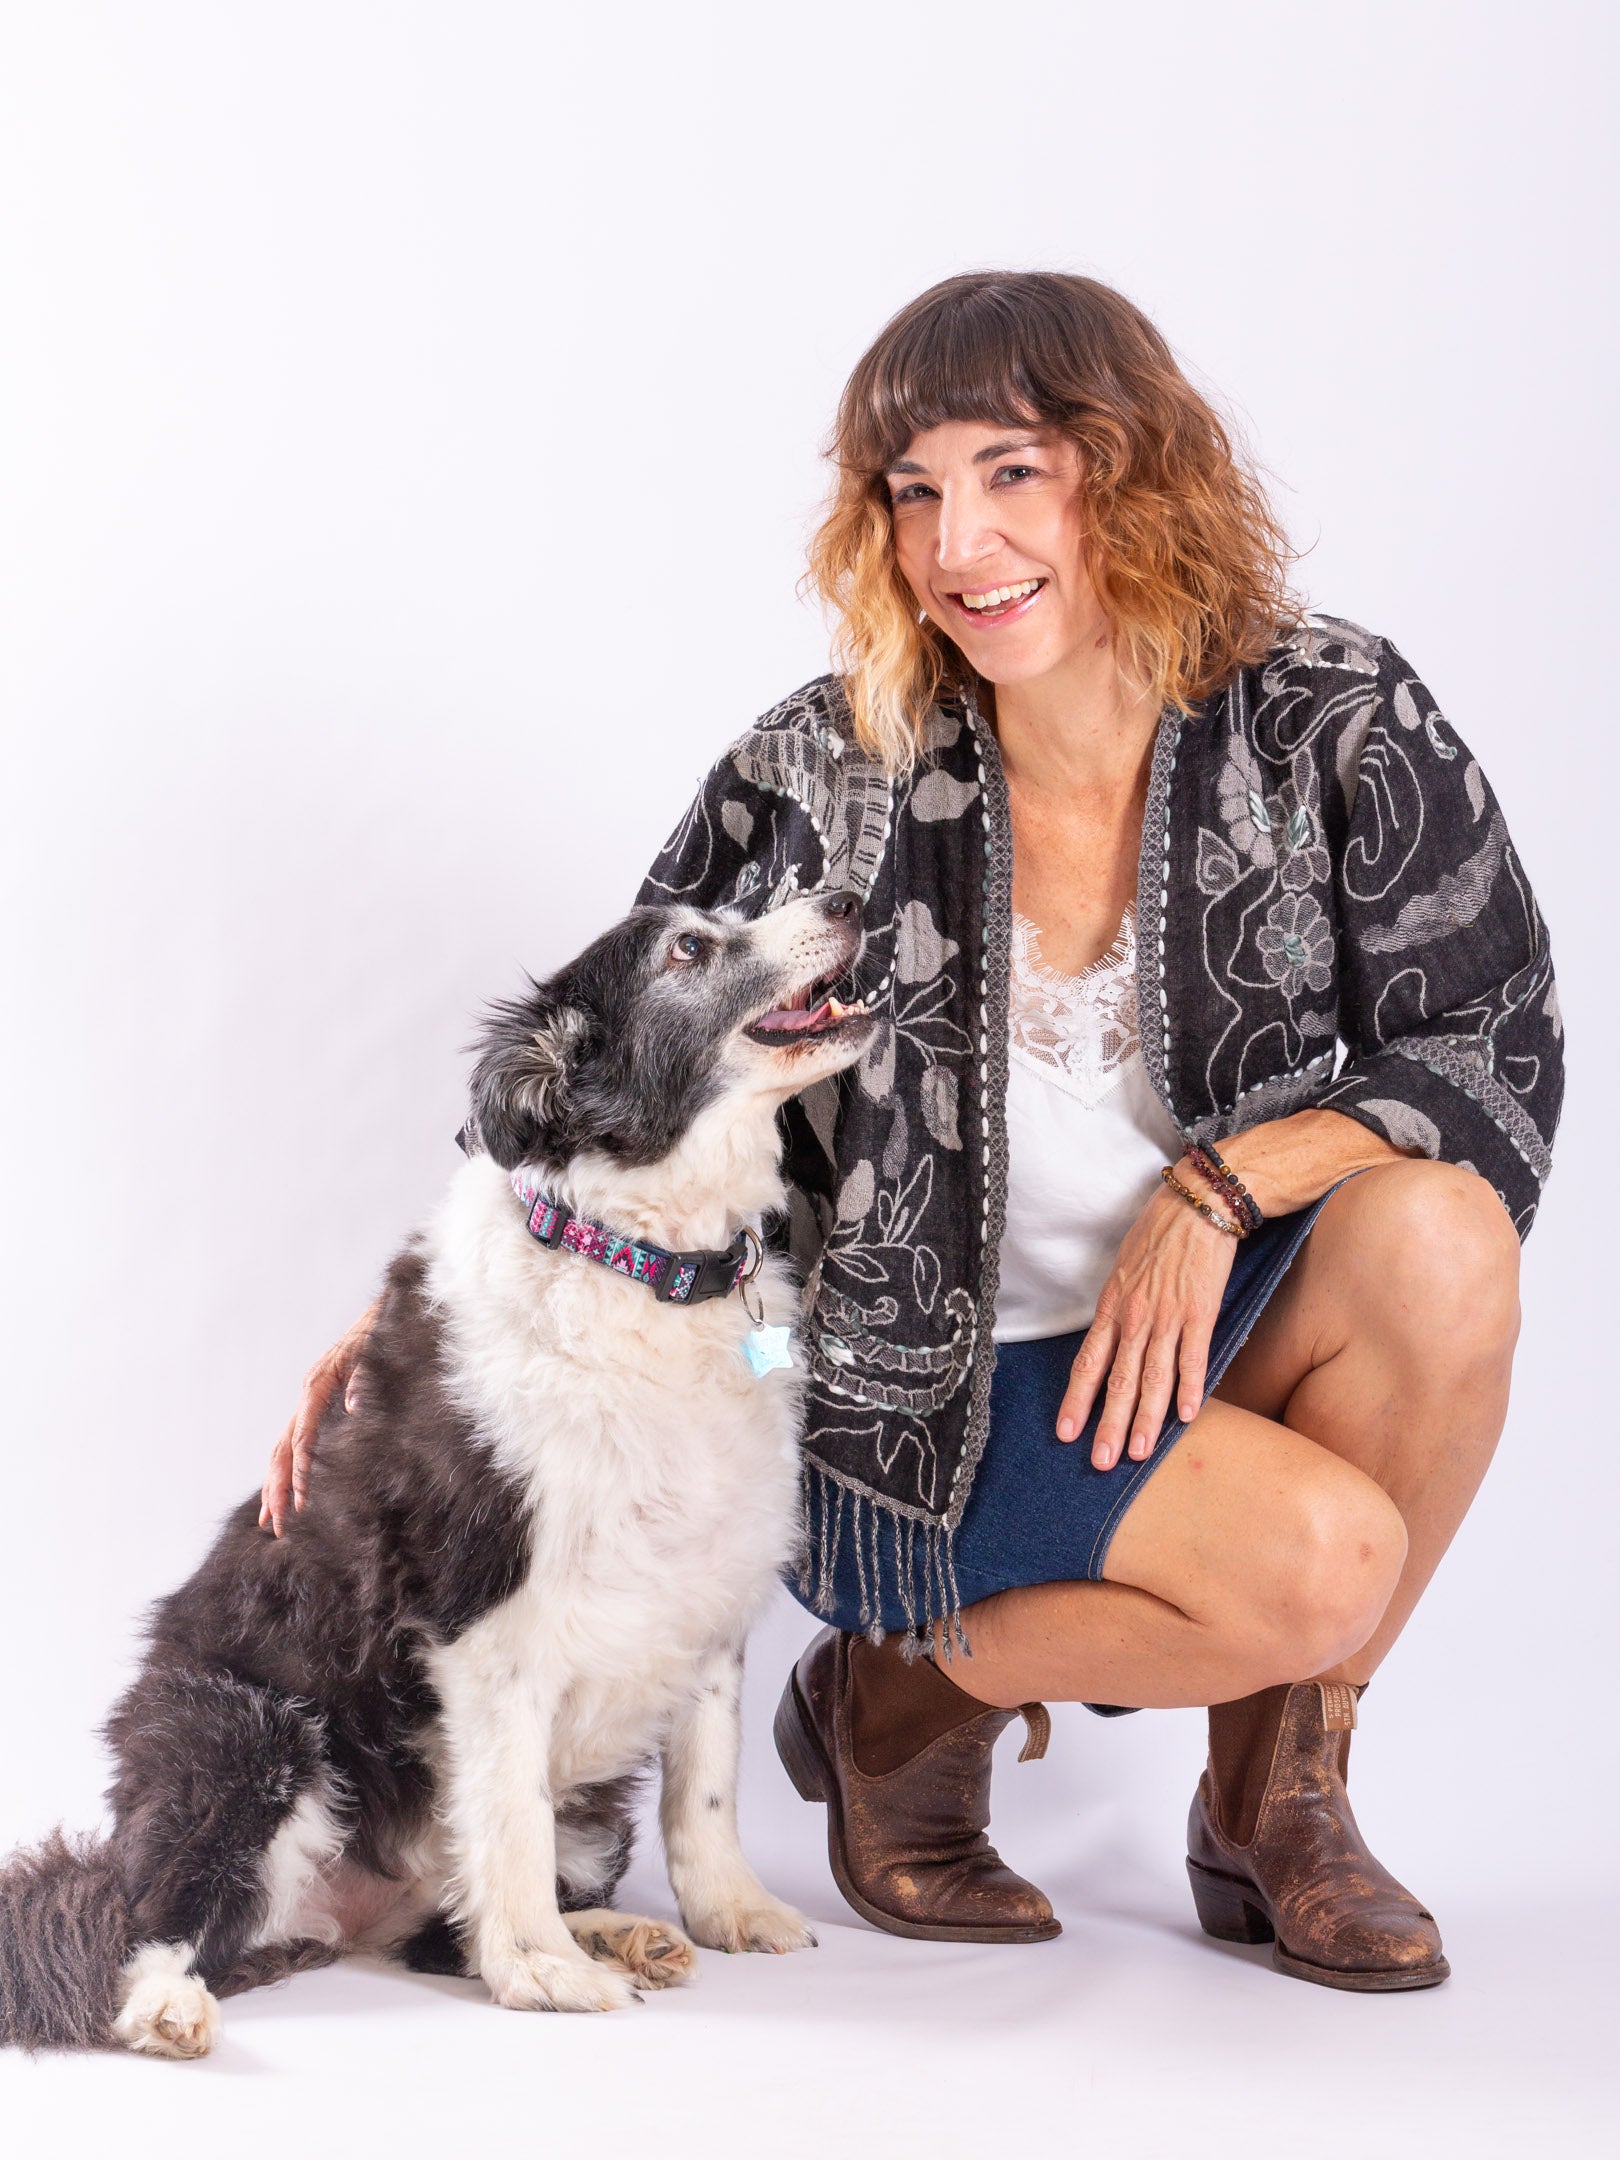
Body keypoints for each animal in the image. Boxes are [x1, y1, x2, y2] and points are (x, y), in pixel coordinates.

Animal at [0, 889, 876, 2056]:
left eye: (742, 906)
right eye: (689, 947)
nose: (847, 899)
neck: (638, 1265)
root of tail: (345, 1918)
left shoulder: (711, 1595)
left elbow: (706, 1788)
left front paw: (729, 1909)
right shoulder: (485, 1623)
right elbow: (508, 1820)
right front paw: (538, 1973)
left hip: (575, 1815)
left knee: (443, 1924)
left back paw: (616, 1934)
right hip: (247, 1735)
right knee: (142, 1922)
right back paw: (168, 2007)